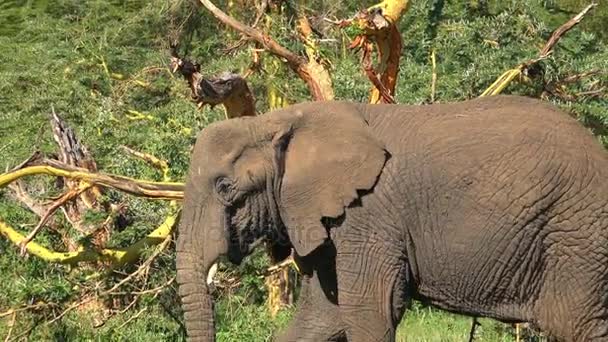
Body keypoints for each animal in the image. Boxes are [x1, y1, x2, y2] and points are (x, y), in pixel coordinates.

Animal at [176, 94, 608, 342]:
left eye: (225, 188)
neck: (276, 120)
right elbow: (322, 317)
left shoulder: (369, 217)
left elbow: (369, 312)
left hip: (577, 235)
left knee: (576, 325)